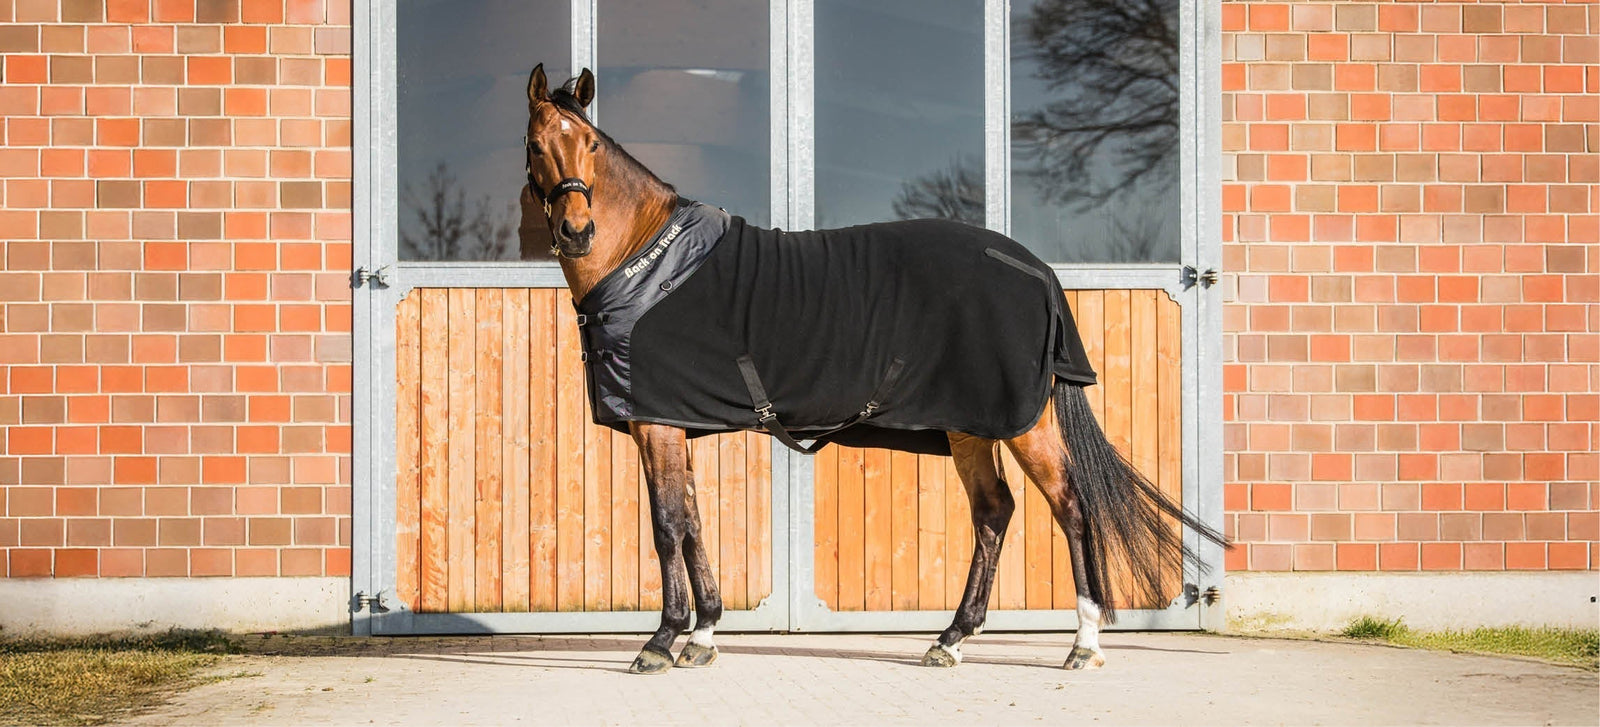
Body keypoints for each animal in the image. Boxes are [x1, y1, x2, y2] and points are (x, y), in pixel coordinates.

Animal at [521, 64, 1227, 675]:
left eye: (590, 144)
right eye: (535, 145)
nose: (578, 231)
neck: (647, 264)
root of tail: (1038, 271)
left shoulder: (656, 425)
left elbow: (668, 528)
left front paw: (661, 641)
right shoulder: (672, 425)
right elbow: (693, 524)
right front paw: (703, 637)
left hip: (1023, 424)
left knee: (1071, 507)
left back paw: (1082, 644)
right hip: (969, 428)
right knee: (994, 511)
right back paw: (951, 639)